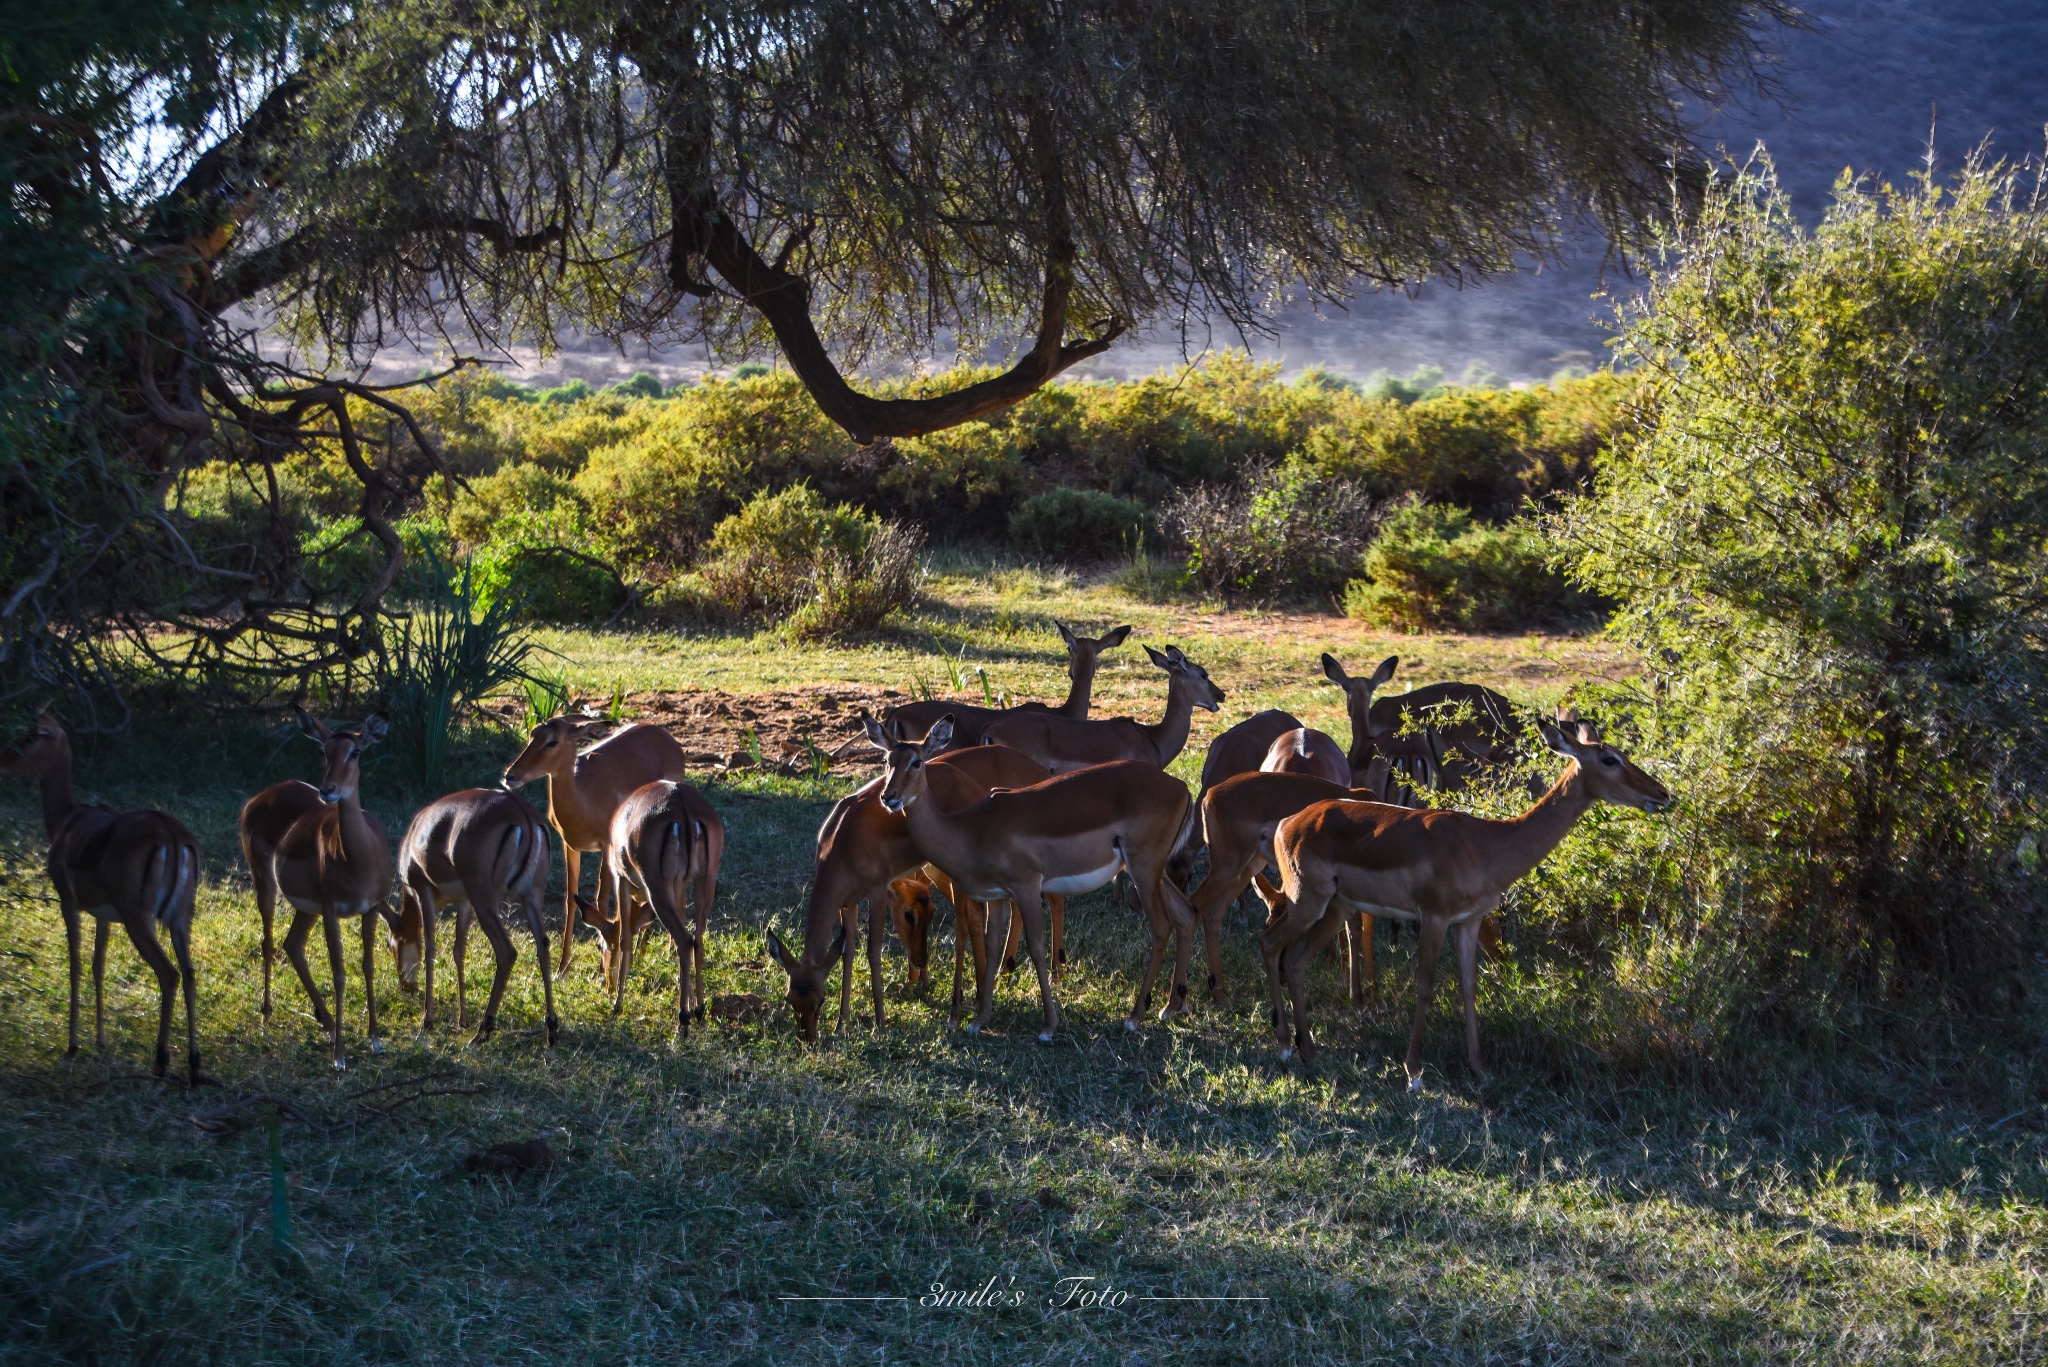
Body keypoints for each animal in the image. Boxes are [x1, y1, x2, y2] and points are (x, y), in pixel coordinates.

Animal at [2, 713, 203, 1082]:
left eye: (31, 736)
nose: (3, 760)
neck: (67, 822)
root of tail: (171, 835)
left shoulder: (69, 903)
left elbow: (75, 964)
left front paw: (73, 1045)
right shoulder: (104, 915)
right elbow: (98, 965)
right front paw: (101, 1040)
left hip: (140, 920)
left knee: (169, 974)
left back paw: (161, 1060)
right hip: (180, 917)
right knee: (191, 973)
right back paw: (194, 1066)